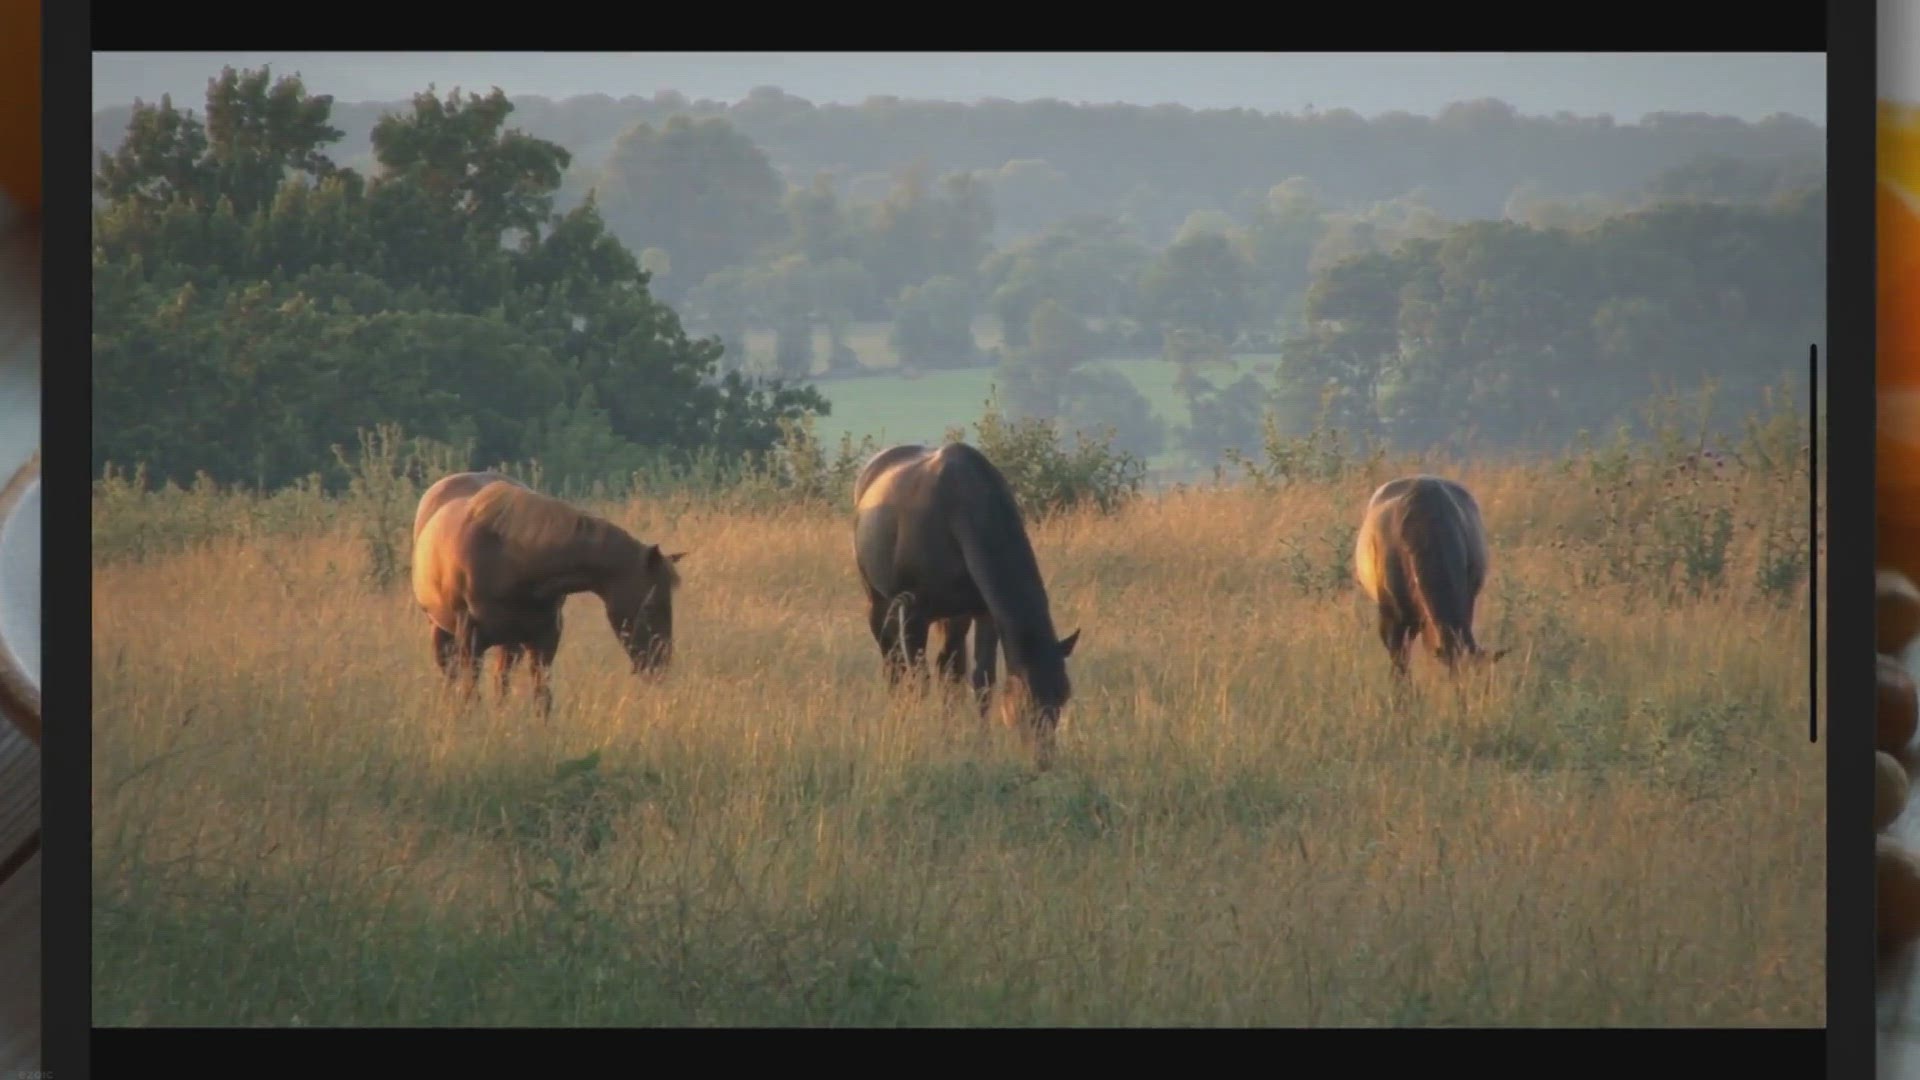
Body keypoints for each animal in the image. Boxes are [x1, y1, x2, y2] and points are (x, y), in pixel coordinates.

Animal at [410, 471, 685, 716]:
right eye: (649, 605)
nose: (660, 664)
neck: (510, 559)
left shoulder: (545, 638)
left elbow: (542, 698)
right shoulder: (471, 638)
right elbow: (471, 693)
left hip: (510, 644)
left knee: (500, 682)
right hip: (443, 632)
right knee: (451, 677)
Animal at [852, 442, 1081, 768]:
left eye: (1063, 696)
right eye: (1027, 700)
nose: (1043, 760)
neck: (959, 507)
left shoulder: (983, 612)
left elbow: (981, 681)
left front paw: (980, 747)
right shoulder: (914, 613)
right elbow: (919, 682)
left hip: (952, 617)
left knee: (950, 671)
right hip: (879, 602)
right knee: (895, 666)